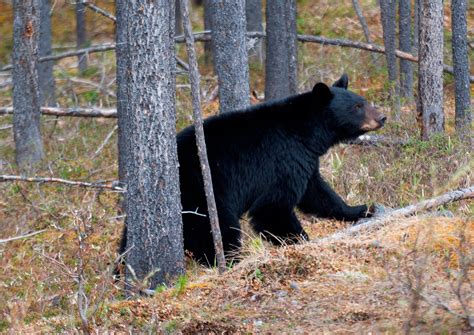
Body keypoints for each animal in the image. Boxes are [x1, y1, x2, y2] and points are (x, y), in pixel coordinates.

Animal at [118, 75, 386, 266]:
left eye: (362, 100)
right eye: (358, 106)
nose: (382, 117)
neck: (306, 134)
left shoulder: (304, 161)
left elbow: (319, 194)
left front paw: (361, 208)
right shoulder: (281, 161)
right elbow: (272, 208)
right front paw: (300, 242)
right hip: (204, 196)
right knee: (218, 232)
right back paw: (230, 261)